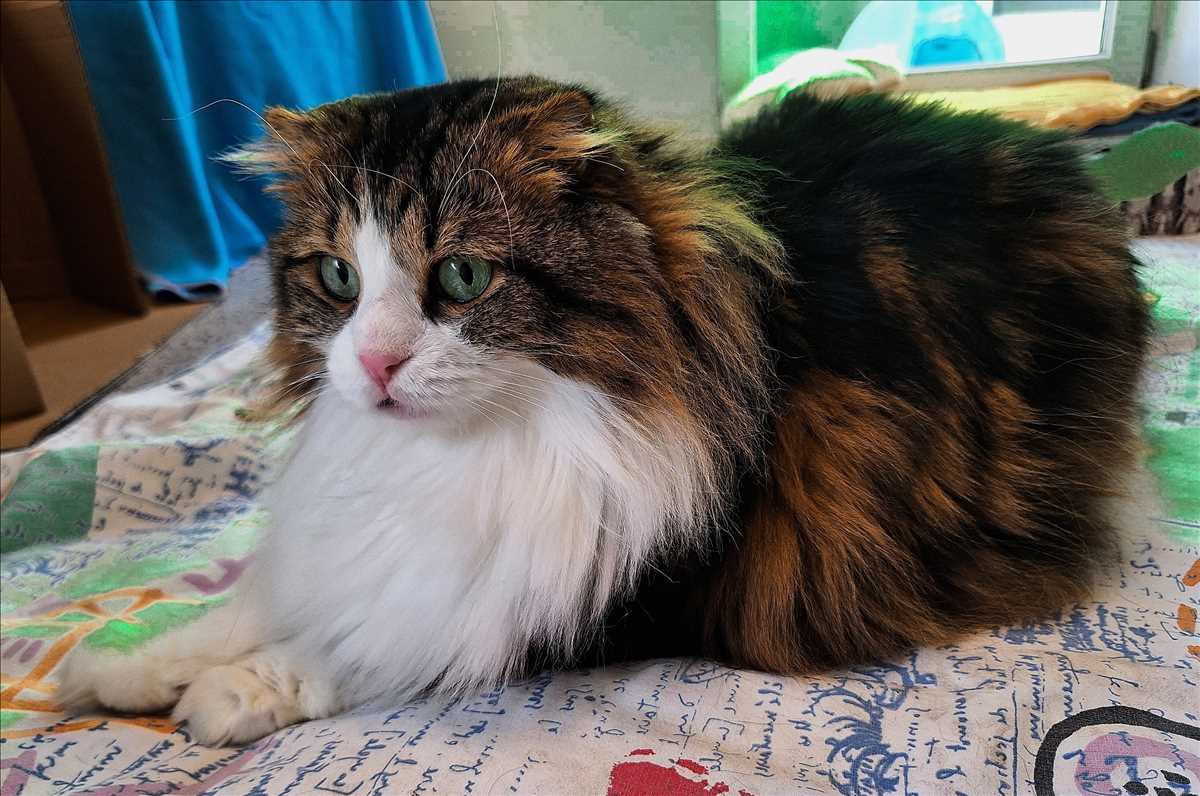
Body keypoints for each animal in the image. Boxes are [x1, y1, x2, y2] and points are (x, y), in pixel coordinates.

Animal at [59, 76, 1149, 746]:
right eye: (336, 277)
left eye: (462, 276)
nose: (372, 362)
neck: (473, 456)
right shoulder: (343, 542)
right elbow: (250, 599)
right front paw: (115, 669)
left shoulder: (616, 591)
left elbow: (369, 647)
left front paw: (226, 696)